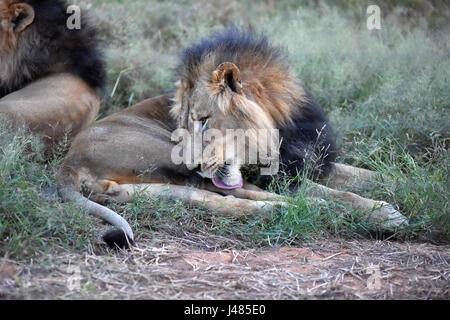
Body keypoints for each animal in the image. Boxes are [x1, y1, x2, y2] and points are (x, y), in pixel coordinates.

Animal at [57, 28, 408, 249]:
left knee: (217, 200)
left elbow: (372, 176)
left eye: (203, 120)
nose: (193, 164)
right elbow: (341, 193)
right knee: (246, 195)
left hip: (154, 186)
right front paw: (383, 214)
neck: (282, 126)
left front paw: (410, 184)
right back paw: (309, 209)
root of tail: (68, 163)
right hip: (157, 151)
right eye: (184, 126)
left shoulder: (314, 162)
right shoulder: (280, 177)